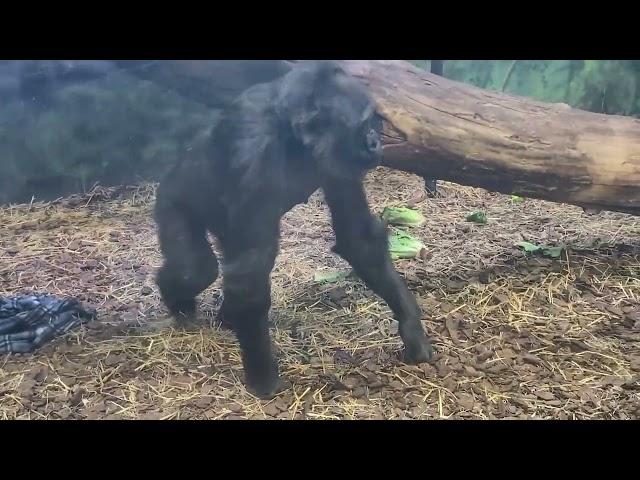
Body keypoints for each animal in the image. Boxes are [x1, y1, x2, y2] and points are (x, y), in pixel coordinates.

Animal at [155, 60, 436, 398]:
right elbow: (252, 266)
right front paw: (263, 378)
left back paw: (225, 316)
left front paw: (412, 330)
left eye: (373, 122)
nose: (375, 140)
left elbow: (358, 237)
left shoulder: (338, 164)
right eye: (363, 124)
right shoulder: (252, 147)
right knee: (195, 269)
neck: (293, 137)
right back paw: (177, 302)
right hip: (170, 203)